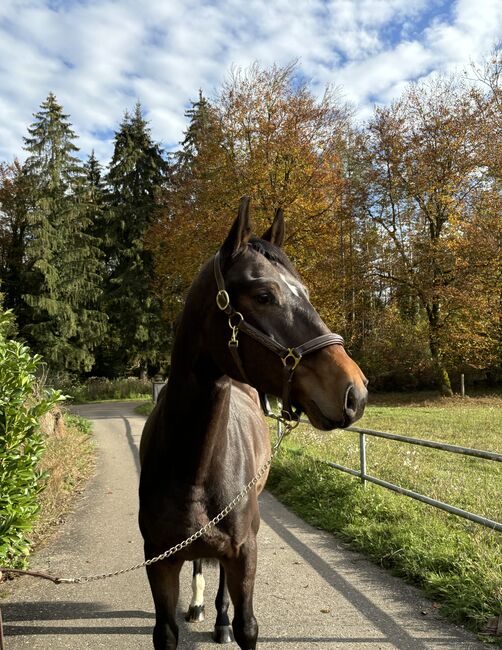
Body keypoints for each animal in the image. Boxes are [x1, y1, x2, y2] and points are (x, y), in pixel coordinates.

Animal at [139, 197, 366, 648]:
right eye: (263, 294)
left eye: (306, 293)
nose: (355, 391)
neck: (191, 466)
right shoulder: (159, 560)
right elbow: (167, 630)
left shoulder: (244, 552)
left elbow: (247, 625)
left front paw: (228, 621)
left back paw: (219, 618)